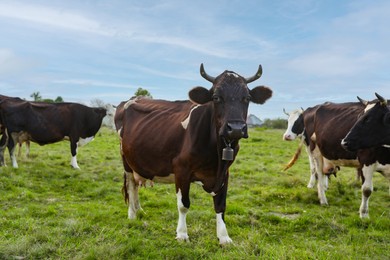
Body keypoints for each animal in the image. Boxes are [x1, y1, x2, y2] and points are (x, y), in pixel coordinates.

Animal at [117, 64, 272, 245]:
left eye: (247, 98)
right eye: (216, 97)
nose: (236, 128)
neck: (216, 153)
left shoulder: (225, 172)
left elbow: (221, 205)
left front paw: (224, 236)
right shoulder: (181, 169)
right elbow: (183, 204)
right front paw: (182, 234)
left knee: (135, 185)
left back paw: (139, 210)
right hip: (126, 161)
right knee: (131, 186)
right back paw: (132, 215)